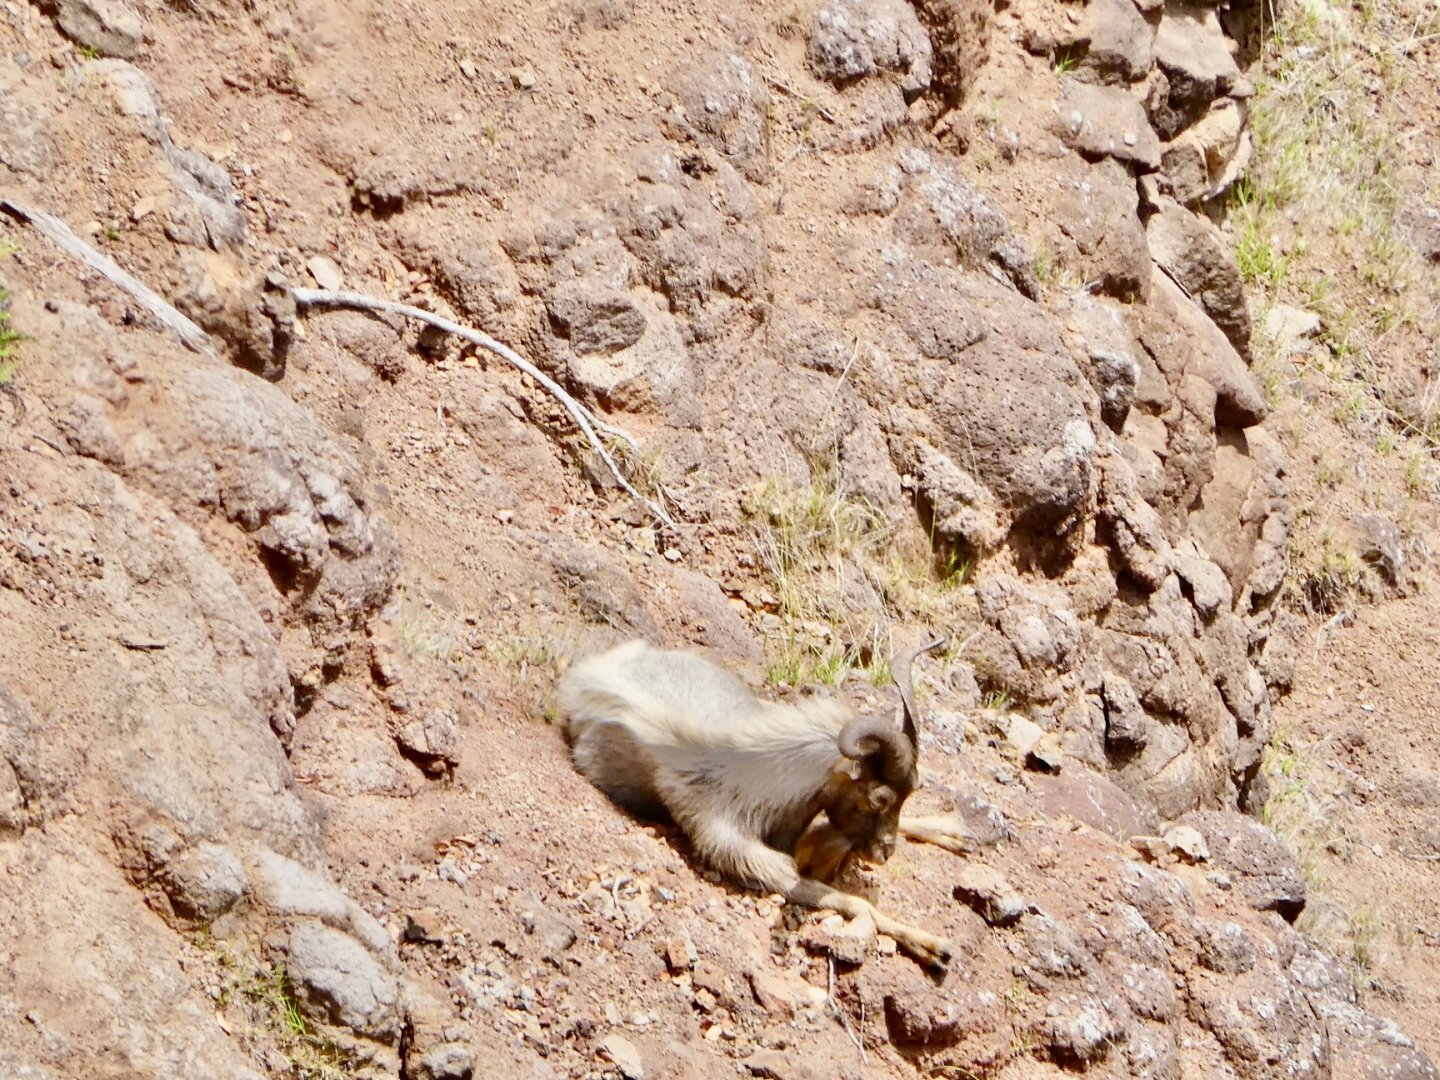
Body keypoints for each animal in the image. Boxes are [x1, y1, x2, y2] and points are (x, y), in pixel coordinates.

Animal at [558, 637, 969, 973]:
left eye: (912, 790)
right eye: (879, 798)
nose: (885, 854)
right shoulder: (744, 854)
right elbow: (856, 902)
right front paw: (935, 948)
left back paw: (959, 834)